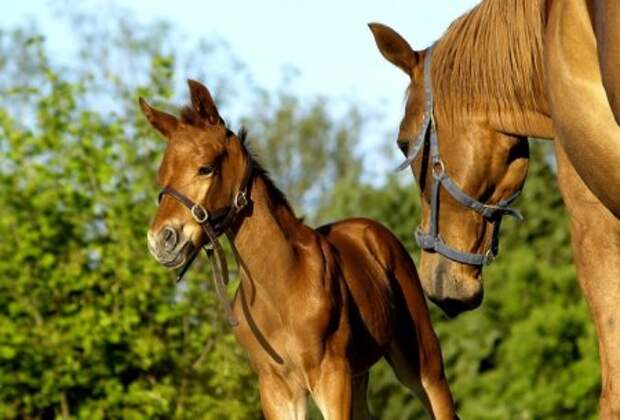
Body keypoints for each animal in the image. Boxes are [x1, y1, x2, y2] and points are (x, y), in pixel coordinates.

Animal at [143, 79, 458, 420]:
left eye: (205, 168)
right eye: (161, 175)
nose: (161, 240)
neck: (281, 285)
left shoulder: (331, 375)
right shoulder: (275, 386)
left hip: (421, 360)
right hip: (360, 373)